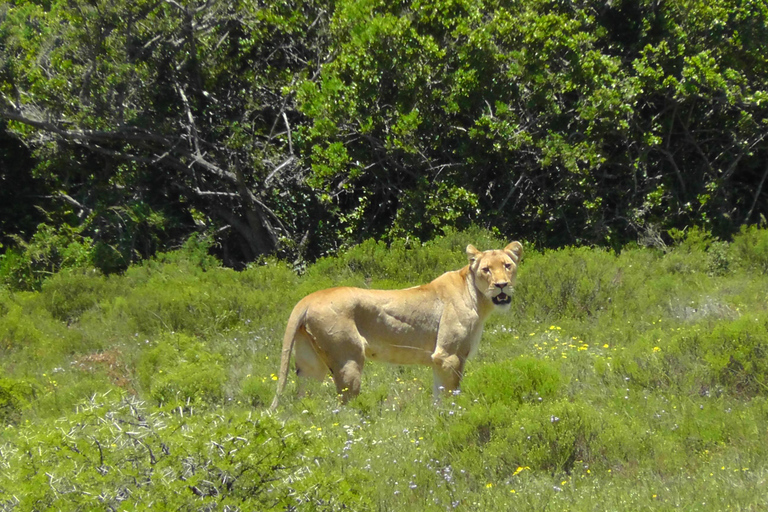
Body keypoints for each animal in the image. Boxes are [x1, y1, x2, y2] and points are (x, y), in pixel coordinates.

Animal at [269, 241, 523, 410]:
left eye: (507, 266)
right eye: (486, 269)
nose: (502, 285)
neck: (479, 299)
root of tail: (308, 298)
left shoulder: (439, 359)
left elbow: (438, 395)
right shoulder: (449, 355)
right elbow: (451, 394)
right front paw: (455, 418)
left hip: (311, 365)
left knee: (306, 401)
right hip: (348, 359)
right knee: (344, 405)